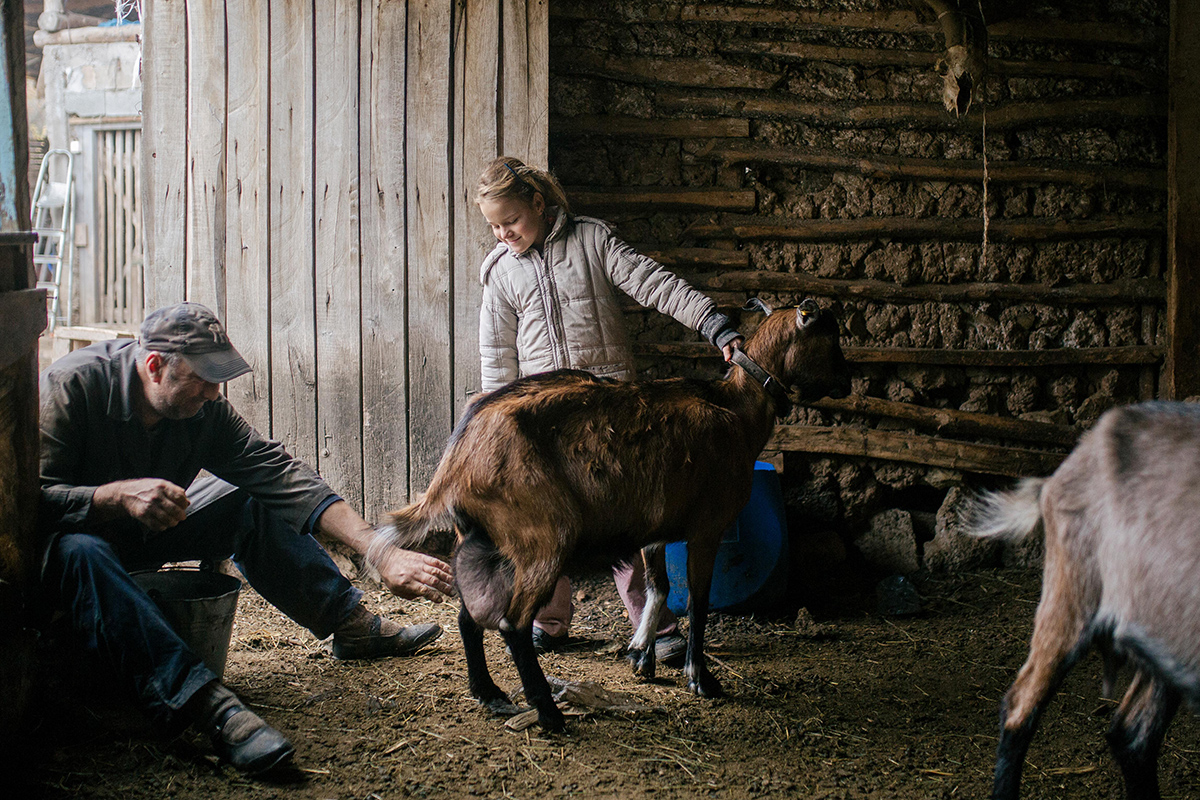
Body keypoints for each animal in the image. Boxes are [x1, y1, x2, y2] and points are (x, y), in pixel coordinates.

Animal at [369, 296, 849, 734]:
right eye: (832, 336)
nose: (847, 384)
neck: (737, 408)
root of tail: (457, 455)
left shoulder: (656, 529)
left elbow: (658, 587)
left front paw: (643, 656)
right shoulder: (707, 526)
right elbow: (699, 601)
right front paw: (701, 679)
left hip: (481, 540)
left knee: (470, 615)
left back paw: (490, 694)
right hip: (542, 537)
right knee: (513, 622)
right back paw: (549, 713)